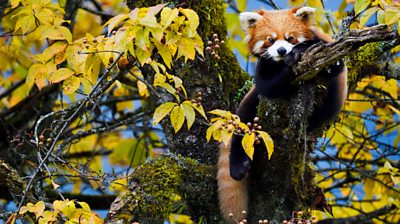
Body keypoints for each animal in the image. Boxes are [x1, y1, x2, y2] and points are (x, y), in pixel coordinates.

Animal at [219, 6, 346, 221]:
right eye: (270, 40)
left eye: (290, 38)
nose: (282, 51)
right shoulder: (263, 71)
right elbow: (269, 86)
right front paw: (289, 64)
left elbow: (333, 64)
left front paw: (298, 52)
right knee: (243, 123)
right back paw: (238, 166)